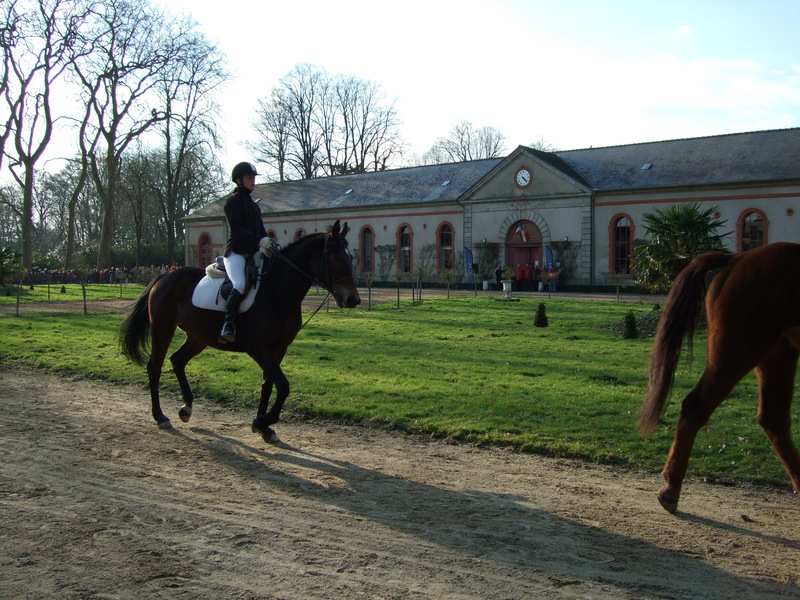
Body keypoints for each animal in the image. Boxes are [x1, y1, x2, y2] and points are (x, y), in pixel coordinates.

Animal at [117, 220, 360, 440]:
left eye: (350, 258)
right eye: (336, 258)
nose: (353, 299)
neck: (277, 292)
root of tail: (165, 277)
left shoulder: (279, 348)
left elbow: (268, 385)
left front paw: (264, 428)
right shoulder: (259, 349)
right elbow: (283, 385)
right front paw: (261, 422)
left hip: (198, 337)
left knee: (177, 360)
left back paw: (186, 408)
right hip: (163, 329)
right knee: (155, 367)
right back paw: (160, 416)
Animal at [640, 241, 800, 512]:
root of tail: (735, 259)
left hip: (776, 352)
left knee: (774, 418)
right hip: (739, 349)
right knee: (696, 406)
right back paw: (671, 489)